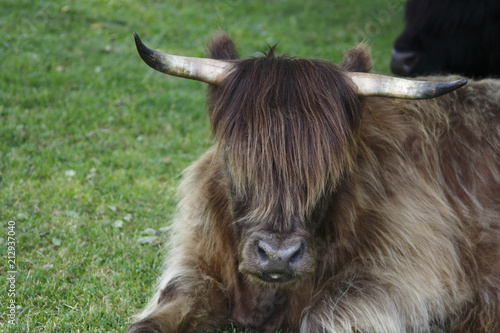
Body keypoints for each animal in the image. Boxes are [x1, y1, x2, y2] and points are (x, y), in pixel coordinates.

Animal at [128, 30, 500, 330]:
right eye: (233, 158)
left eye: (333, 171)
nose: (277, 255)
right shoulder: (197, 265)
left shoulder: (416, 277)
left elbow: (323, 315)